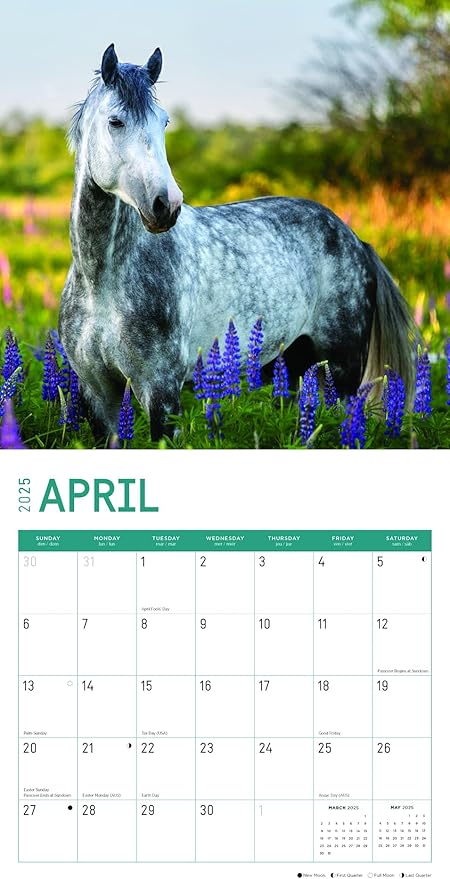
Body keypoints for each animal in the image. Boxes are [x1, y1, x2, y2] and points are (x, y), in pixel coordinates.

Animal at [59, 43, 415, 441]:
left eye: (164, 122)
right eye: (116, 121)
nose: (166, 205)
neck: (102, 283)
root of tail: (356, 241)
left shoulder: (160, 391)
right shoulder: (98, 394)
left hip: (342, 370)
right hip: (292, 364)